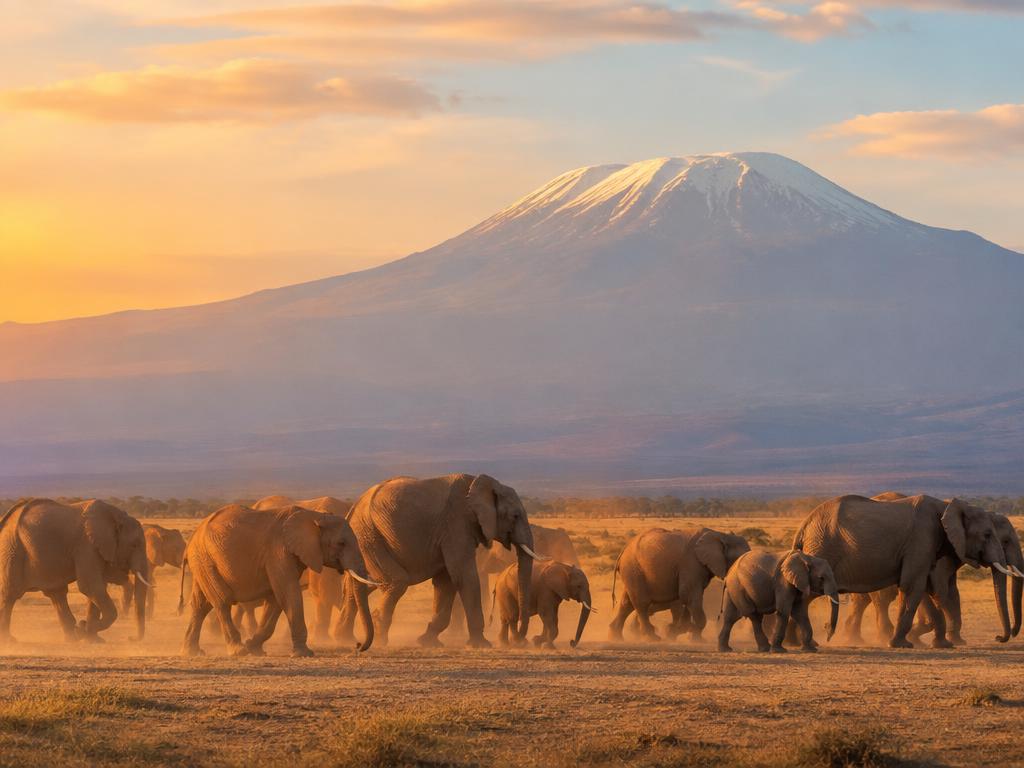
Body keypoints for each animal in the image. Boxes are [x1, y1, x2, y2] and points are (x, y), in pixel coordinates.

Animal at [0, 498, 151, 642]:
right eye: (134, 545)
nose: (130, 638)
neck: (116, 516)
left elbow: (98, 587)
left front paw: (92, 638)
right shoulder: (87, 546)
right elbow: (90, 586)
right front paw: (82, 630)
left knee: (57, 594)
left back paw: (71, 638)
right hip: (12, 550)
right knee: (9, 594)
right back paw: (9, 640)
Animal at [180, 504, 376, 657]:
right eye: (341, 543)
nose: (358, 645)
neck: (313, 516)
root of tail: (191, 541)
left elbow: (276, 599)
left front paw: (255, 648)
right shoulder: (278, 551)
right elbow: (288, 593)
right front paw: (304, 654)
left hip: (202, 561)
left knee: (201, 605)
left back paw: (192, 652)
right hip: (204, 558)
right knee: (222, 601)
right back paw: (237, 651)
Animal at [336, 474, 544, 648]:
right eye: (515, 516)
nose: (521, 640)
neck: (480, 484)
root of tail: (353, 509)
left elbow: (446, 582)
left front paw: (427, 642)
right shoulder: (456, 524)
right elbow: (463, 575)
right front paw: (481, 645)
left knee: (363, 586)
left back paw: (343, 639)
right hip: (368, 538)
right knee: (396, 582)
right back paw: (378, 639)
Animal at [608, 527, 750, 642]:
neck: (720, 535)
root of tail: (623, 551)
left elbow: (688, 599)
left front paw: (677, 631)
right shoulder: (691, 563)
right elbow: (689, 596)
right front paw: (695, 638)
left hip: (632, 572)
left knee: (627, 603)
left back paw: (616, 637)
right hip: (633, 569)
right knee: (641, 603)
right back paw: (653, 637)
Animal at [793, 494, 1010, 649]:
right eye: (987, 534)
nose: (998, 637)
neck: (947, 505)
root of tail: (804, 524)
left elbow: (929, 589)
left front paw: (943, 645)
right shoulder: (921, 539)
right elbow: (912, 586)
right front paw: (901, 644)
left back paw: (798, 642)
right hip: (823, 548)